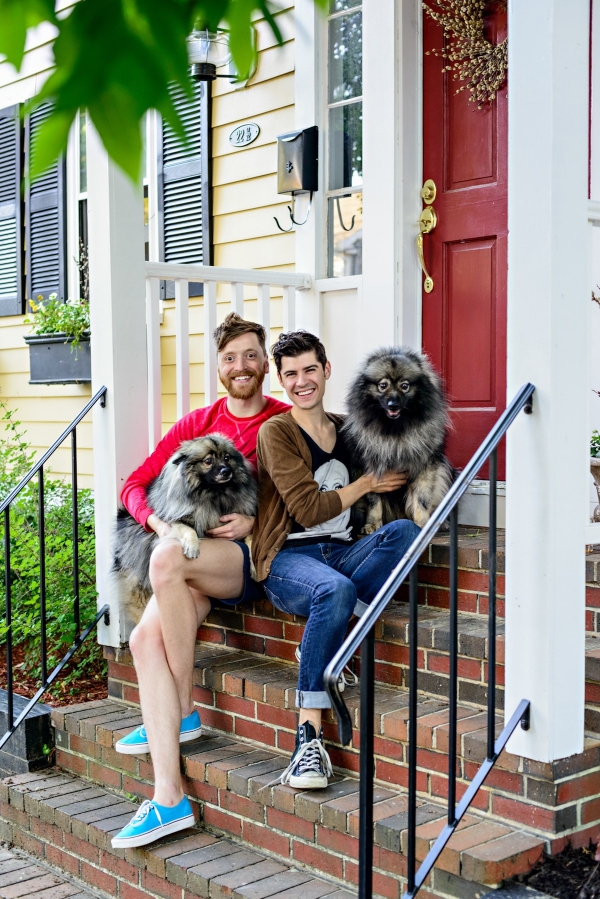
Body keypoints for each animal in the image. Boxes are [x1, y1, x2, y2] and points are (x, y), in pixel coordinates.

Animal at [113, 436, 256, 624]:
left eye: (227, 458)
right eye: (208, 461)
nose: (226, 471)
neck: (214, 495)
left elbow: (253, 538)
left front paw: (256, 565)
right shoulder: (175, 520)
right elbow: (189, 530)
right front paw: (192, 547)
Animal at [340, 348, 452, 536]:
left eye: (404, 386)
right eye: (382, 385)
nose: (393, 404)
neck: (394, 429)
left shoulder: (424, 467)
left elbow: (421, 499)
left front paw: (423, 524)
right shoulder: (371, 468)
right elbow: (374, 501)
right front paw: (373, 524)